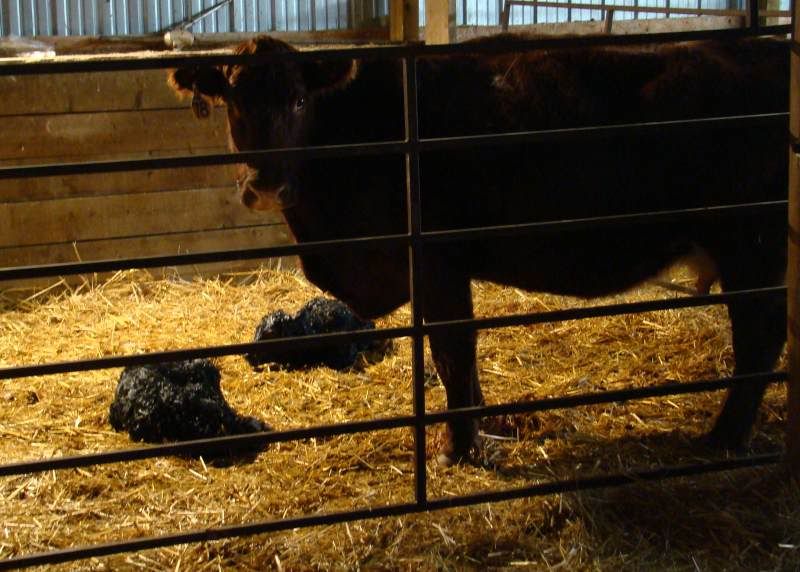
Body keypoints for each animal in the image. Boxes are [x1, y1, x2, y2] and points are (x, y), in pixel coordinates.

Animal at [168, 34, 789, 465]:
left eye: (299, 100)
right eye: (232, 103)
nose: (267, 184)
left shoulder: (435, 263)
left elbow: (451, 352)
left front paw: (459, 447)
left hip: (750, 244)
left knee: (760, 339)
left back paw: (723, 439)